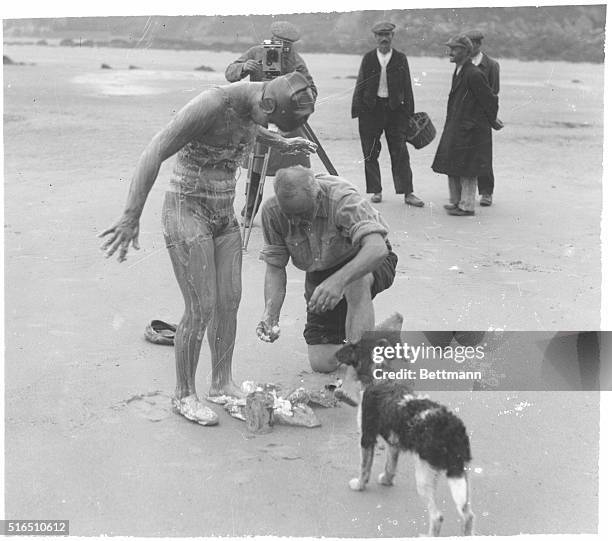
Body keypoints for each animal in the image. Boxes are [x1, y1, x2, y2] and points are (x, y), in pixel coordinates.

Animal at [334, 312, 474, 536]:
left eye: (354, 345)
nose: (337, 352)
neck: (382, 375)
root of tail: (452, 428)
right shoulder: (394, 443)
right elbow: (390, 466)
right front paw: (386, 481)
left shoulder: (367, 437)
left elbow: (364, 467)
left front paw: (359, 485)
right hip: (458, 472)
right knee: (468, 515)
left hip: (425, 475)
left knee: (437, 516)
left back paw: (428, 535)